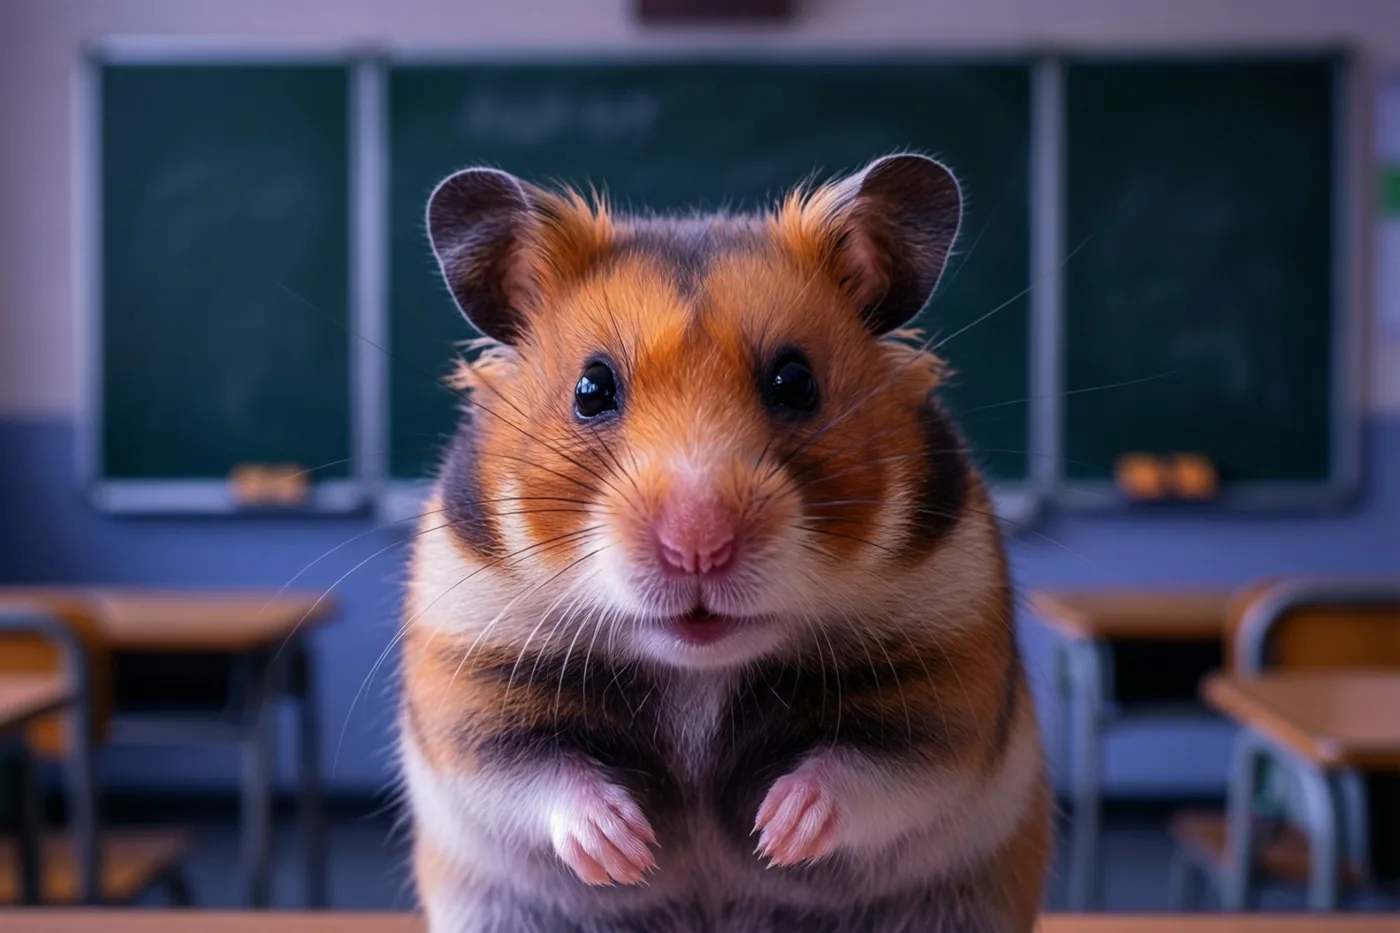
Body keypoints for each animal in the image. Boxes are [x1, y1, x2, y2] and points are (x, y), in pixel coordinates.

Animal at [399, 153, 1050, 933]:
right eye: (591, 388)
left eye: (796, 381)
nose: (698, 546)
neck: (699, 671)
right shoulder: (469, 673)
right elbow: (534, 772)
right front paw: (623, 849)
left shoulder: (948, 672)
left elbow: (875, 767)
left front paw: (779, 832)